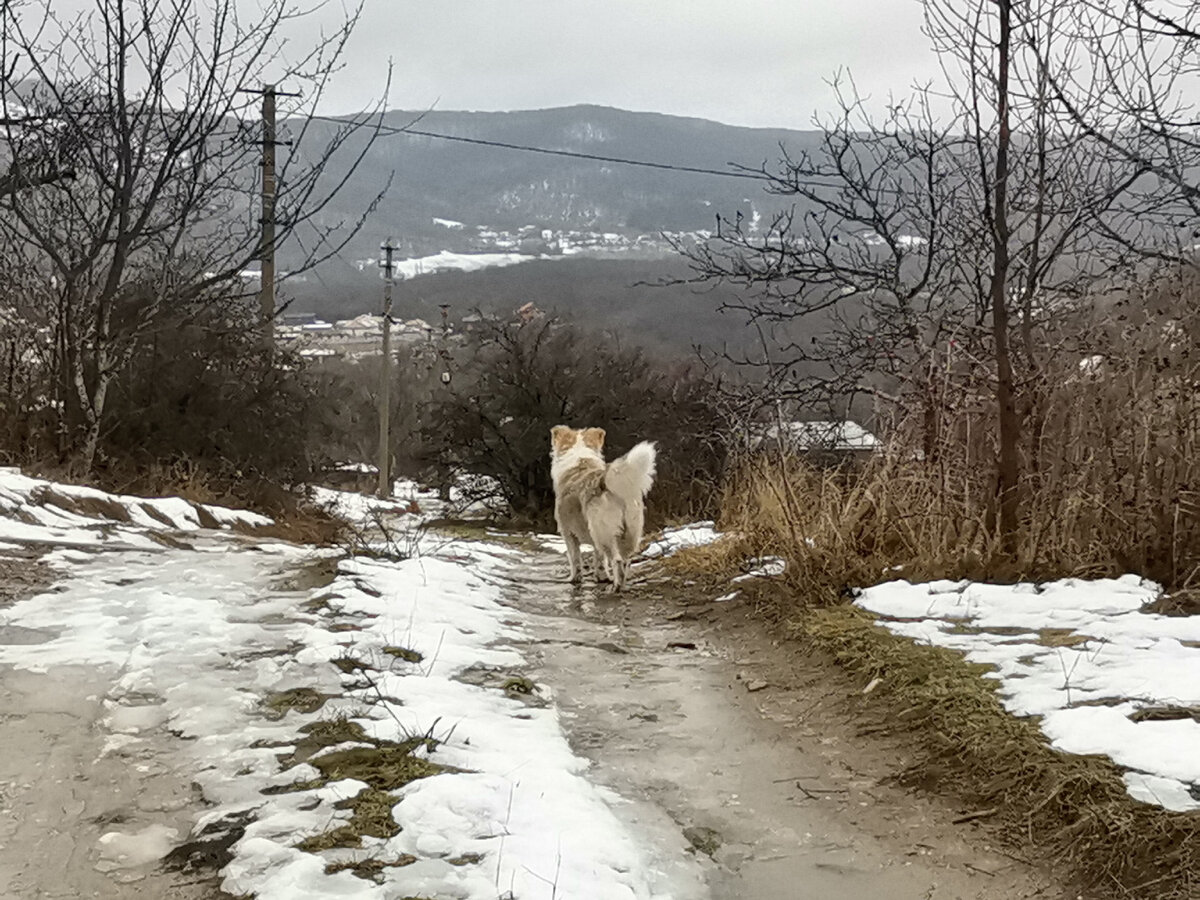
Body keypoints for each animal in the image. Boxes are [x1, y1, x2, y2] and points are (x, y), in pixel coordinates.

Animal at [549, 427, 657, 592]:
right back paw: (621, 584)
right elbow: (599, 560)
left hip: (603, 534)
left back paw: (616, 587)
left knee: (617, 560)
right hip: (629, 533)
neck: (580, 458)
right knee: (625, 561)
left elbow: (575, 559)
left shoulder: (568, 533)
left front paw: (575, 579)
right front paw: (602, 577)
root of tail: (606, 482)